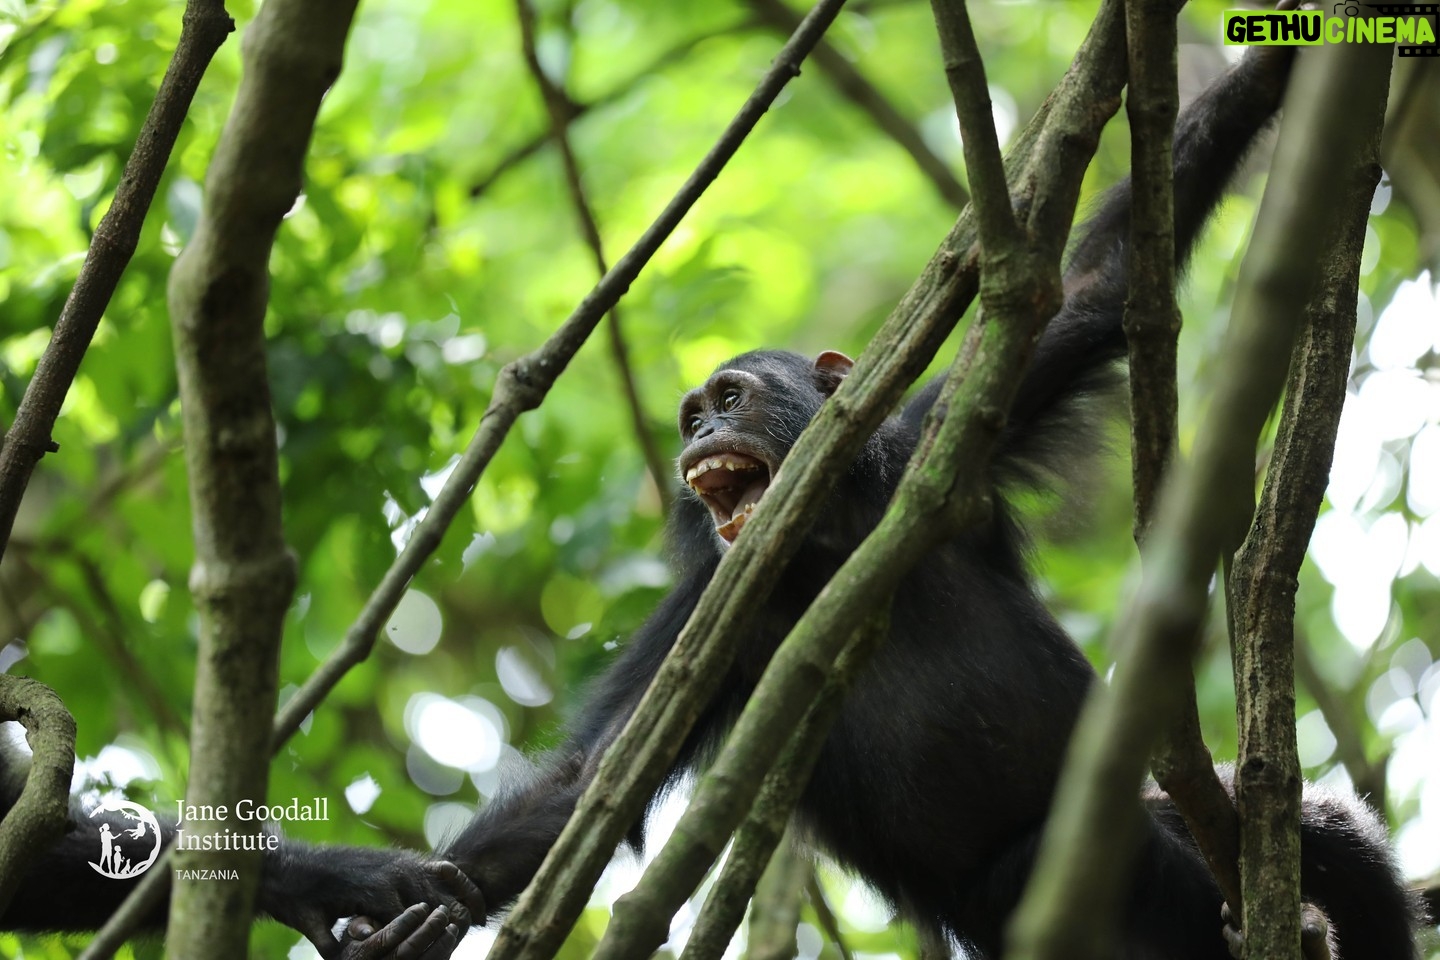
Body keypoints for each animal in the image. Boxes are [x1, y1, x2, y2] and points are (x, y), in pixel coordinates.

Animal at [0, 27, 1423, 960]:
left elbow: (1098, 279)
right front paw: (371, 892)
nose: (699, 432)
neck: (834, 539)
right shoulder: (709, 617)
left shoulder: (952, 435)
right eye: (688, 416)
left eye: (728, 397)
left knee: (1325, 840)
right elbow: (583, 788)